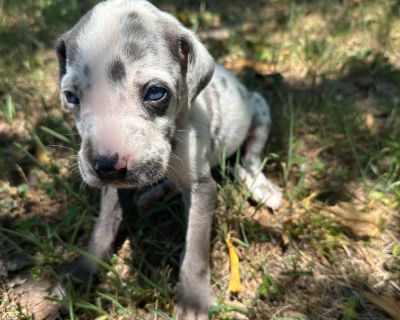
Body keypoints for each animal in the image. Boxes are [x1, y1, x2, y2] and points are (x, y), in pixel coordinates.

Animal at [56, 1, 282, 318]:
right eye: (71, 97)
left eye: (155, 92)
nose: (107, 166)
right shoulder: (114, 187)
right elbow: (102, 229)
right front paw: (81, 273)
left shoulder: (202, 188)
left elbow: (196, 249)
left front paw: (194, 299)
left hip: (259, 109)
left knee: (249, 158)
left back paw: (261, 186)